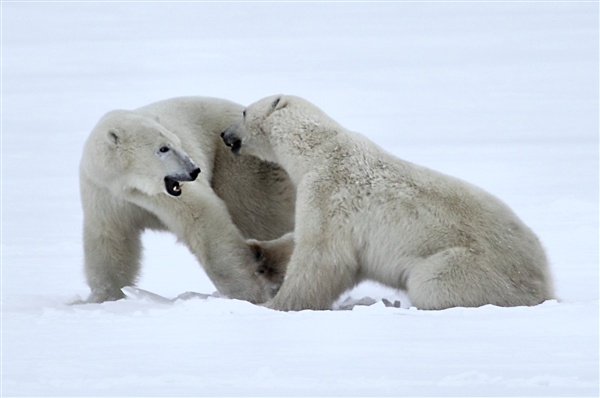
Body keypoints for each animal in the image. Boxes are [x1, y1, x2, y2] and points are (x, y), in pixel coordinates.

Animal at [79, 96, 296, 302]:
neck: (127, 185)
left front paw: (246, 291)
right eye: (163, 148)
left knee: (260, 215)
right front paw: (104, 296)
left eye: (178, 143)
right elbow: (110, 240)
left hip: (239, 166)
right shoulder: (103, 194)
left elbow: (202, 218)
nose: (194, 170)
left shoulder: (167, 195)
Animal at [223, 94, 556, 310]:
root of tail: (544, 280)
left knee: (430, 283)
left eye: (243, 112)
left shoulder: (327, 191)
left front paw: (276, 304)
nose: (225, 134)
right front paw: (257, 251)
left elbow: (322, 255)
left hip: (474, 266)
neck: (319, 149)